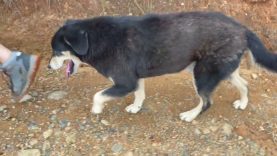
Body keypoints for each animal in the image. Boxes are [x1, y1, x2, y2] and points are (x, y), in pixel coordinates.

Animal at [49, 11, 276, 122]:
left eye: (57, 51)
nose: (49, 67)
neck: (95, 39)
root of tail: (243, 28)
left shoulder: (124, 82)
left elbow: (98, 95)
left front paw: (96, 109)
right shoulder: (135, 79)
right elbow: (139, 94)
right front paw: (136, 107)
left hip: (202, 74)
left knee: (206, 102)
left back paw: (190, 115)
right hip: (223, 70)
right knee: (245, 85)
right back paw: (243, 103)